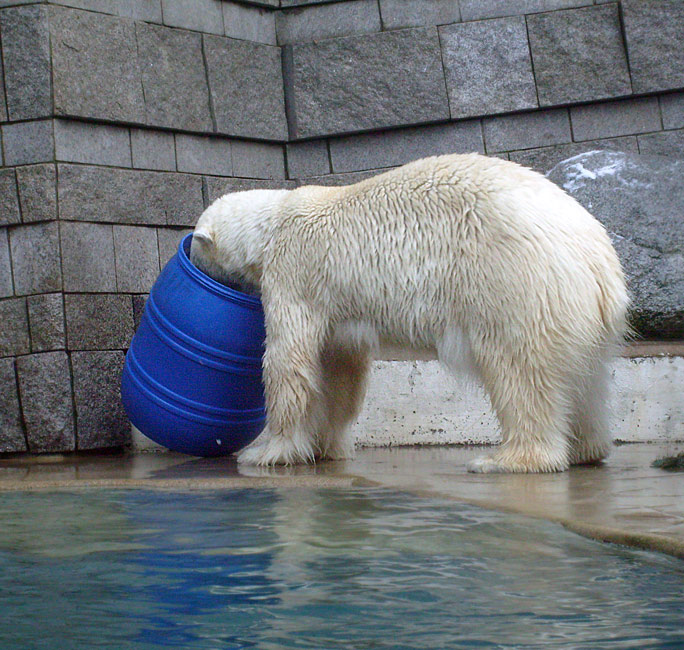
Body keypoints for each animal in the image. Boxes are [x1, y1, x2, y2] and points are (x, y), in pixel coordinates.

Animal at [190, 155, 628, 474]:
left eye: (195, 248)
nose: (190, 262)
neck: (274, 220)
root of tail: (597, 255)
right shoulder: (340, 309)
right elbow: (340, 370)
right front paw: (326, 446)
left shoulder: (295, 272)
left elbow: (289, 362)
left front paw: (268, 451)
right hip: (575, 308)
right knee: (585, 380)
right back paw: (586, 449)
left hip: (513, 283)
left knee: (518, 371)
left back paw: (507, 459)